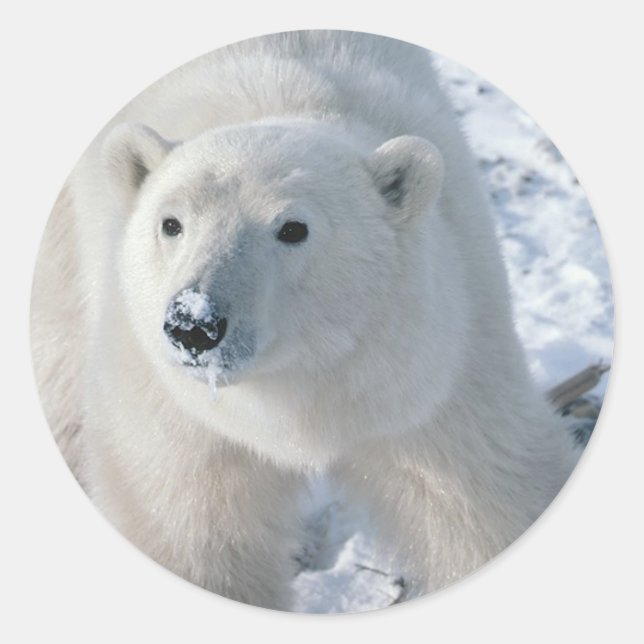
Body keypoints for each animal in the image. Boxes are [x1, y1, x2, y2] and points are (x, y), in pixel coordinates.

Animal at [31, 31, 579, 610]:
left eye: (292, 228)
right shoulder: (166, 400)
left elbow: (494, 491)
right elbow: (191, 537)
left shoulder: (436, 365)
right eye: (171, 223)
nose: (194, 325)